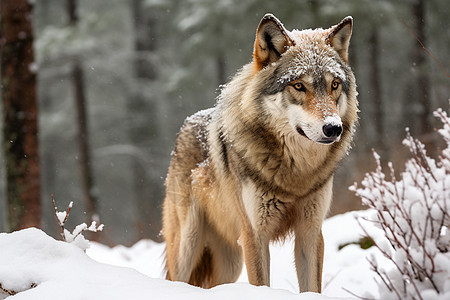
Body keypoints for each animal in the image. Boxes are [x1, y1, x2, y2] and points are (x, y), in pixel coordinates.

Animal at [162, 14, 358, 292]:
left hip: (230, 263)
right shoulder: (255, 235)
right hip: (187, 247)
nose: (333, 128)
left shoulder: (310, 232)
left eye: (334, 85)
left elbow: (312, 286)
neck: (296, 174)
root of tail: (185, 126)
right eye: (299, 85)